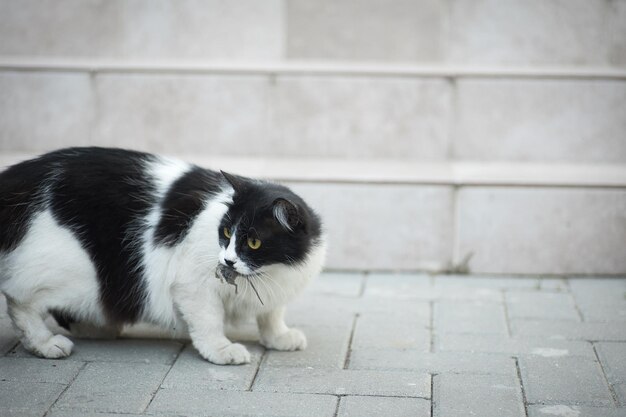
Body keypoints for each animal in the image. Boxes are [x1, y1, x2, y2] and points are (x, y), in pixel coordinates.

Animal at [1, 148, 326, 362]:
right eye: (225, 233)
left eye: (254, 242)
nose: (227, 261)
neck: (270, 272)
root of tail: (18, 176)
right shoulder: (193, 285)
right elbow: (209, 321)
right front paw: (220, 350)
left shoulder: (277, 288)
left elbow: (271, 313)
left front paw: (278, 337)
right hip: (70, 270)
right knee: (20, 301)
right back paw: (46, 344)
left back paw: (95, 326)